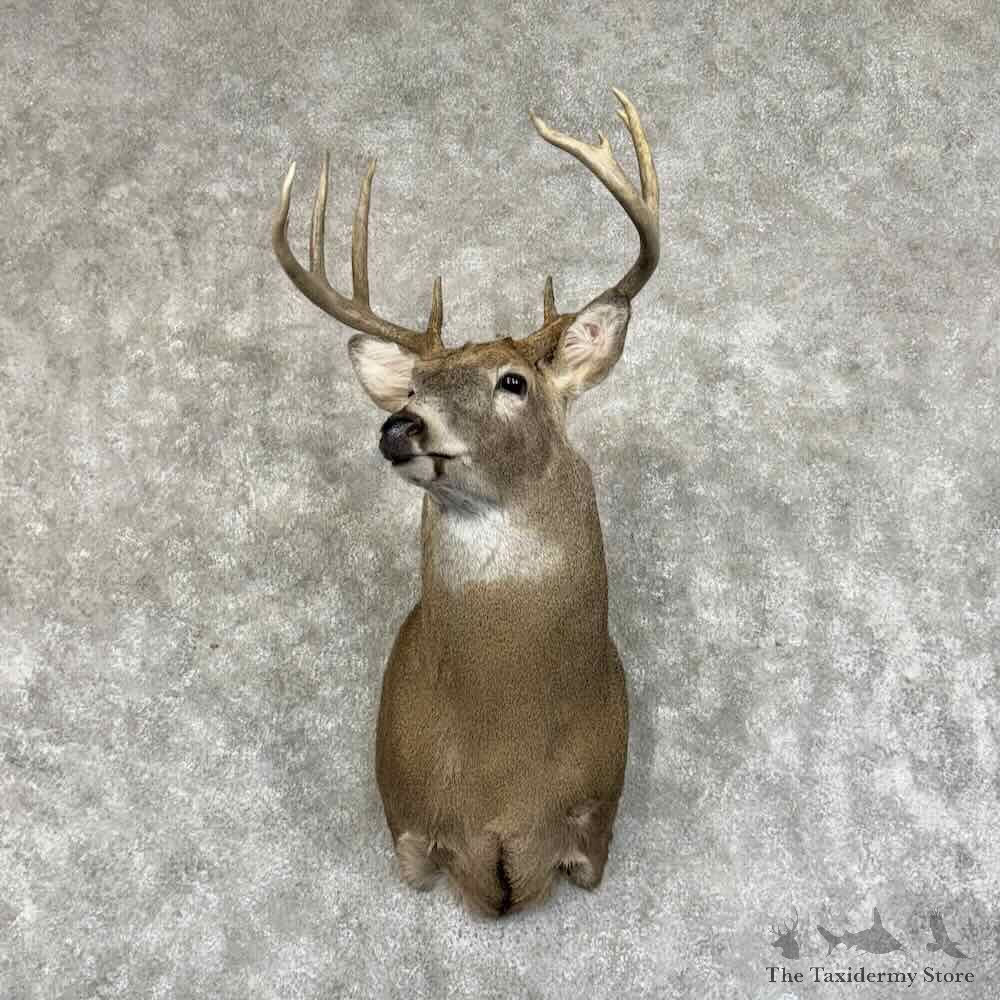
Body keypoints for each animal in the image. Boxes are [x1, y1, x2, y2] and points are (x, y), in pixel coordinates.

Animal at [271, 89, 660, 917]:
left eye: (514, 382)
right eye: (414, 387)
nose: (399, 426)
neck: (502, 773)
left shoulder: (596, 821)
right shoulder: (409, 825)